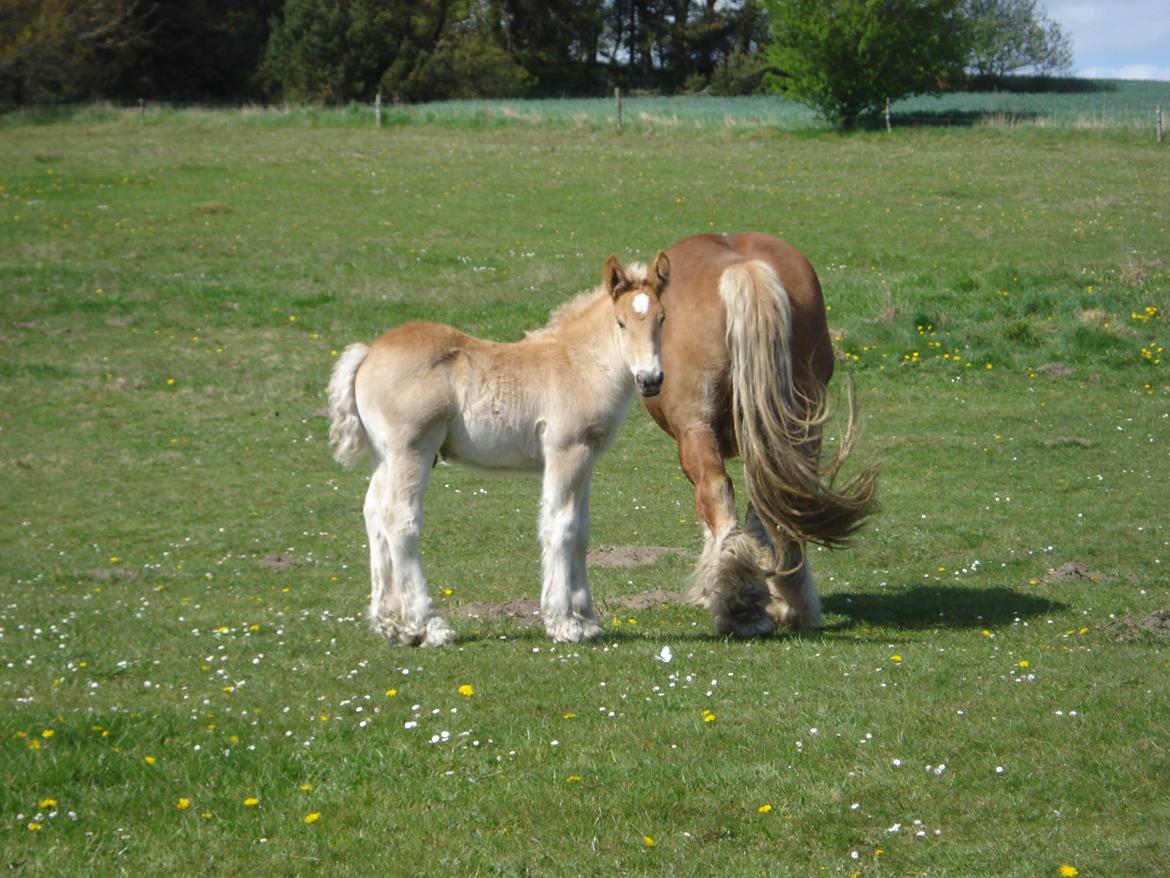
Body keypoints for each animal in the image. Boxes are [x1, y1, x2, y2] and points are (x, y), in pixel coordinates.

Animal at [327, 254, 669, 646]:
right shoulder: (566, 451)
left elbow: (582, 529)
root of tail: (368, 352)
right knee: (400, 519)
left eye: (662, 318)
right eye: (621, 322)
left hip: (384, 457)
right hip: (411, 452)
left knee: (374, 514)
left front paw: (587, 620)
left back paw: (392, 625)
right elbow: (561, 526)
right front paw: (563, 622)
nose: (650, 380)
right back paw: (427, 625)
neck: (582, 362)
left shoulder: (587, 457)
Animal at [641, 230, 879, 636]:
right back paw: (792, 603)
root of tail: (743, 267)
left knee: (717, 493)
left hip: (697, 429)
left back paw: (739, 607)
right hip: (796, 430)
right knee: (780, 502)